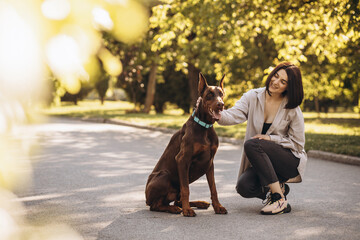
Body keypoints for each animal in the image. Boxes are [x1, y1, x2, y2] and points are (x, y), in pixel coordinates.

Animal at [144, 72, 226, 217]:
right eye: (209, 94)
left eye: (221, 94)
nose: (220, 104)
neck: (205, 127)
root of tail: (146, 198)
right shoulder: (182, 159)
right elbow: (185, 189)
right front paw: (187, 210)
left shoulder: (210, 162)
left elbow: (213, 188)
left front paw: (218, 207)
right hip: (164, 175)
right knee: (156, 205)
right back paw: (175, 209)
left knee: (177, 201)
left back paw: (199, 203)